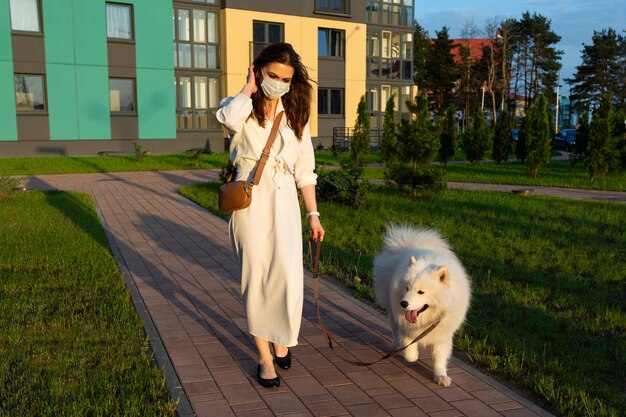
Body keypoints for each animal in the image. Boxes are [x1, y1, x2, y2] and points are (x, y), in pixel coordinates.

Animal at [370, 224, 468, 386]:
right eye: (407, 288)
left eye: (421, 292)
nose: (403, 303)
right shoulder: (406, 327)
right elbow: (410, 353)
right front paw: (409, 353)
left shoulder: (442, 334)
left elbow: (439, 358)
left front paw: (441, 376)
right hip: (392, 313)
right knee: (395, 330)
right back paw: (397, 346)